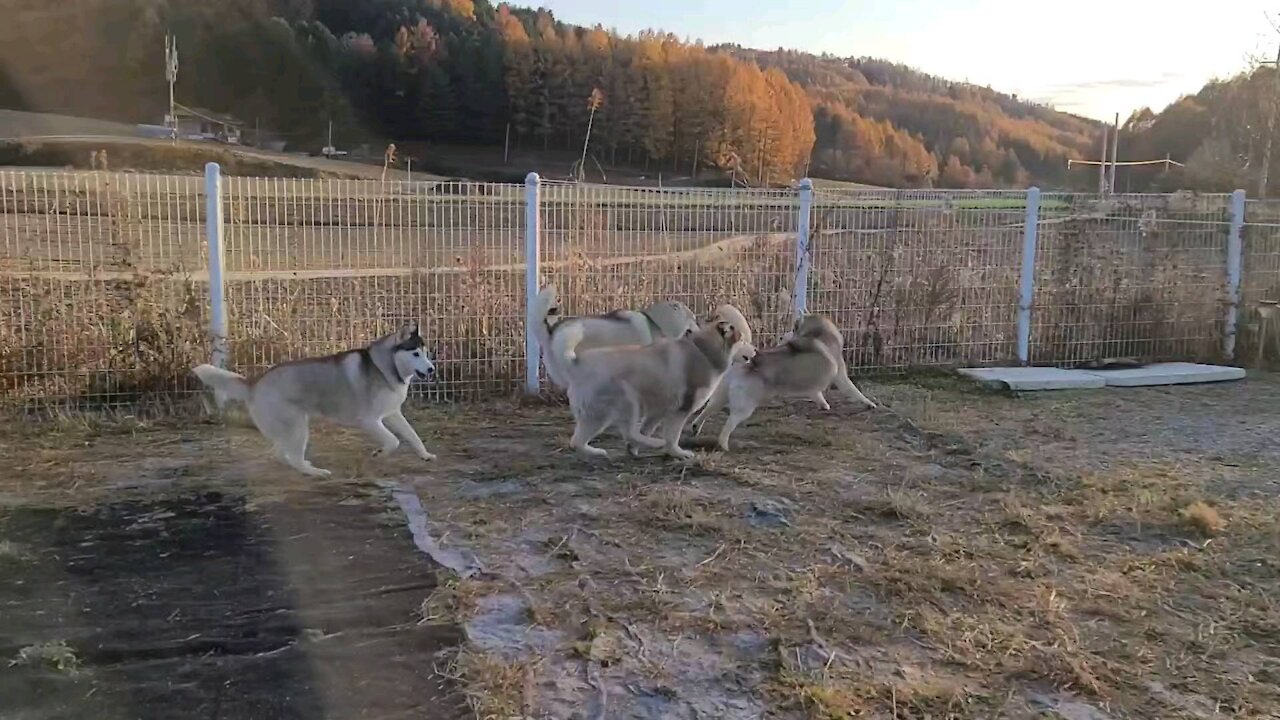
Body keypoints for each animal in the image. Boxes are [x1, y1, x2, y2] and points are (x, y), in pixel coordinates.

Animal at [192, 322, 437, 474]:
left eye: (426, 353)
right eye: (415, 353)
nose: (432, 369)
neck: (384, 367)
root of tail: (254, 382)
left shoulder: (393, 414)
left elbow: (412, 436)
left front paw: (425, 455)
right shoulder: (369, 420)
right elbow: (393, 440)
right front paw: (379, 453)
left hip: (289, 429)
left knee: (280, 453)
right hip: (298, 426)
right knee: (292, 456)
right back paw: (317, 472)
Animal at [560, 313, 747, 458]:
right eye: (742, 339)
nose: (752, 354)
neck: (704, 350)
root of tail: (576, 364)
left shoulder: (658, 412)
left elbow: (645, 429)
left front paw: (632, 450)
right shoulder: (681, 410)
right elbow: (672, 437)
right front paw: (677, 452)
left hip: (595, 416)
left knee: (577, 441)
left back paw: (596, 452)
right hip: (627, 400)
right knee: (629, 432)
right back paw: (657, 443)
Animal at [691, 312, 880, 448]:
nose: (783, 336)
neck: (818, 334)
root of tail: (747, 362)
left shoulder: (813, 385)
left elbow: (817, 393)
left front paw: (823, 404)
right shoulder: (840, 376)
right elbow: (854, 391)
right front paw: (870, 403)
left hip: (721, 395)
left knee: (707, 410)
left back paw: (695, 427)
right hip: (745, 406)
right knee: (729, 423)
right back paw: (723, 444)